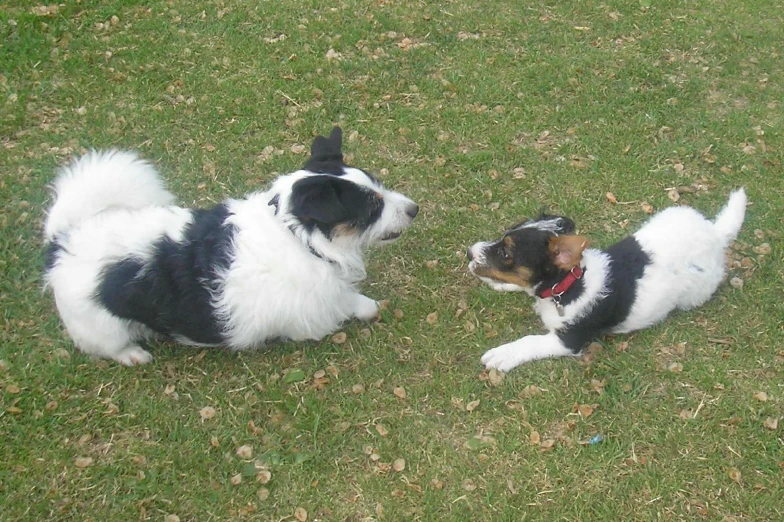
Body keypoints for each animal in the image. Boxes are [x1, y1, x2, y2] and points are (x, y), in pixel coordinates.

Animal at [45, 126, 420, 364]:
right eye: (371, 206)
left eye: (379, 186)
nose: (415, 209)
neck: (296, 235)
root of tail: (62, 239)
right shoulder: (309, 312)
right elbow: (351, 304)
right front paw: (365, 307)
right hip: (101, 325)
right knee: (108, 346)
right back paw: (134, 355)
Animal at [468, 189, 744, 372]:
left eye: (506, 254)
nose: (469, 252)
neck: (570, 286)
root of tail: (715, 233)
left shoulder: (567, 340)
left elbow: (530, 341)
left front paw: (502, 355)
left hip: (697, 292)